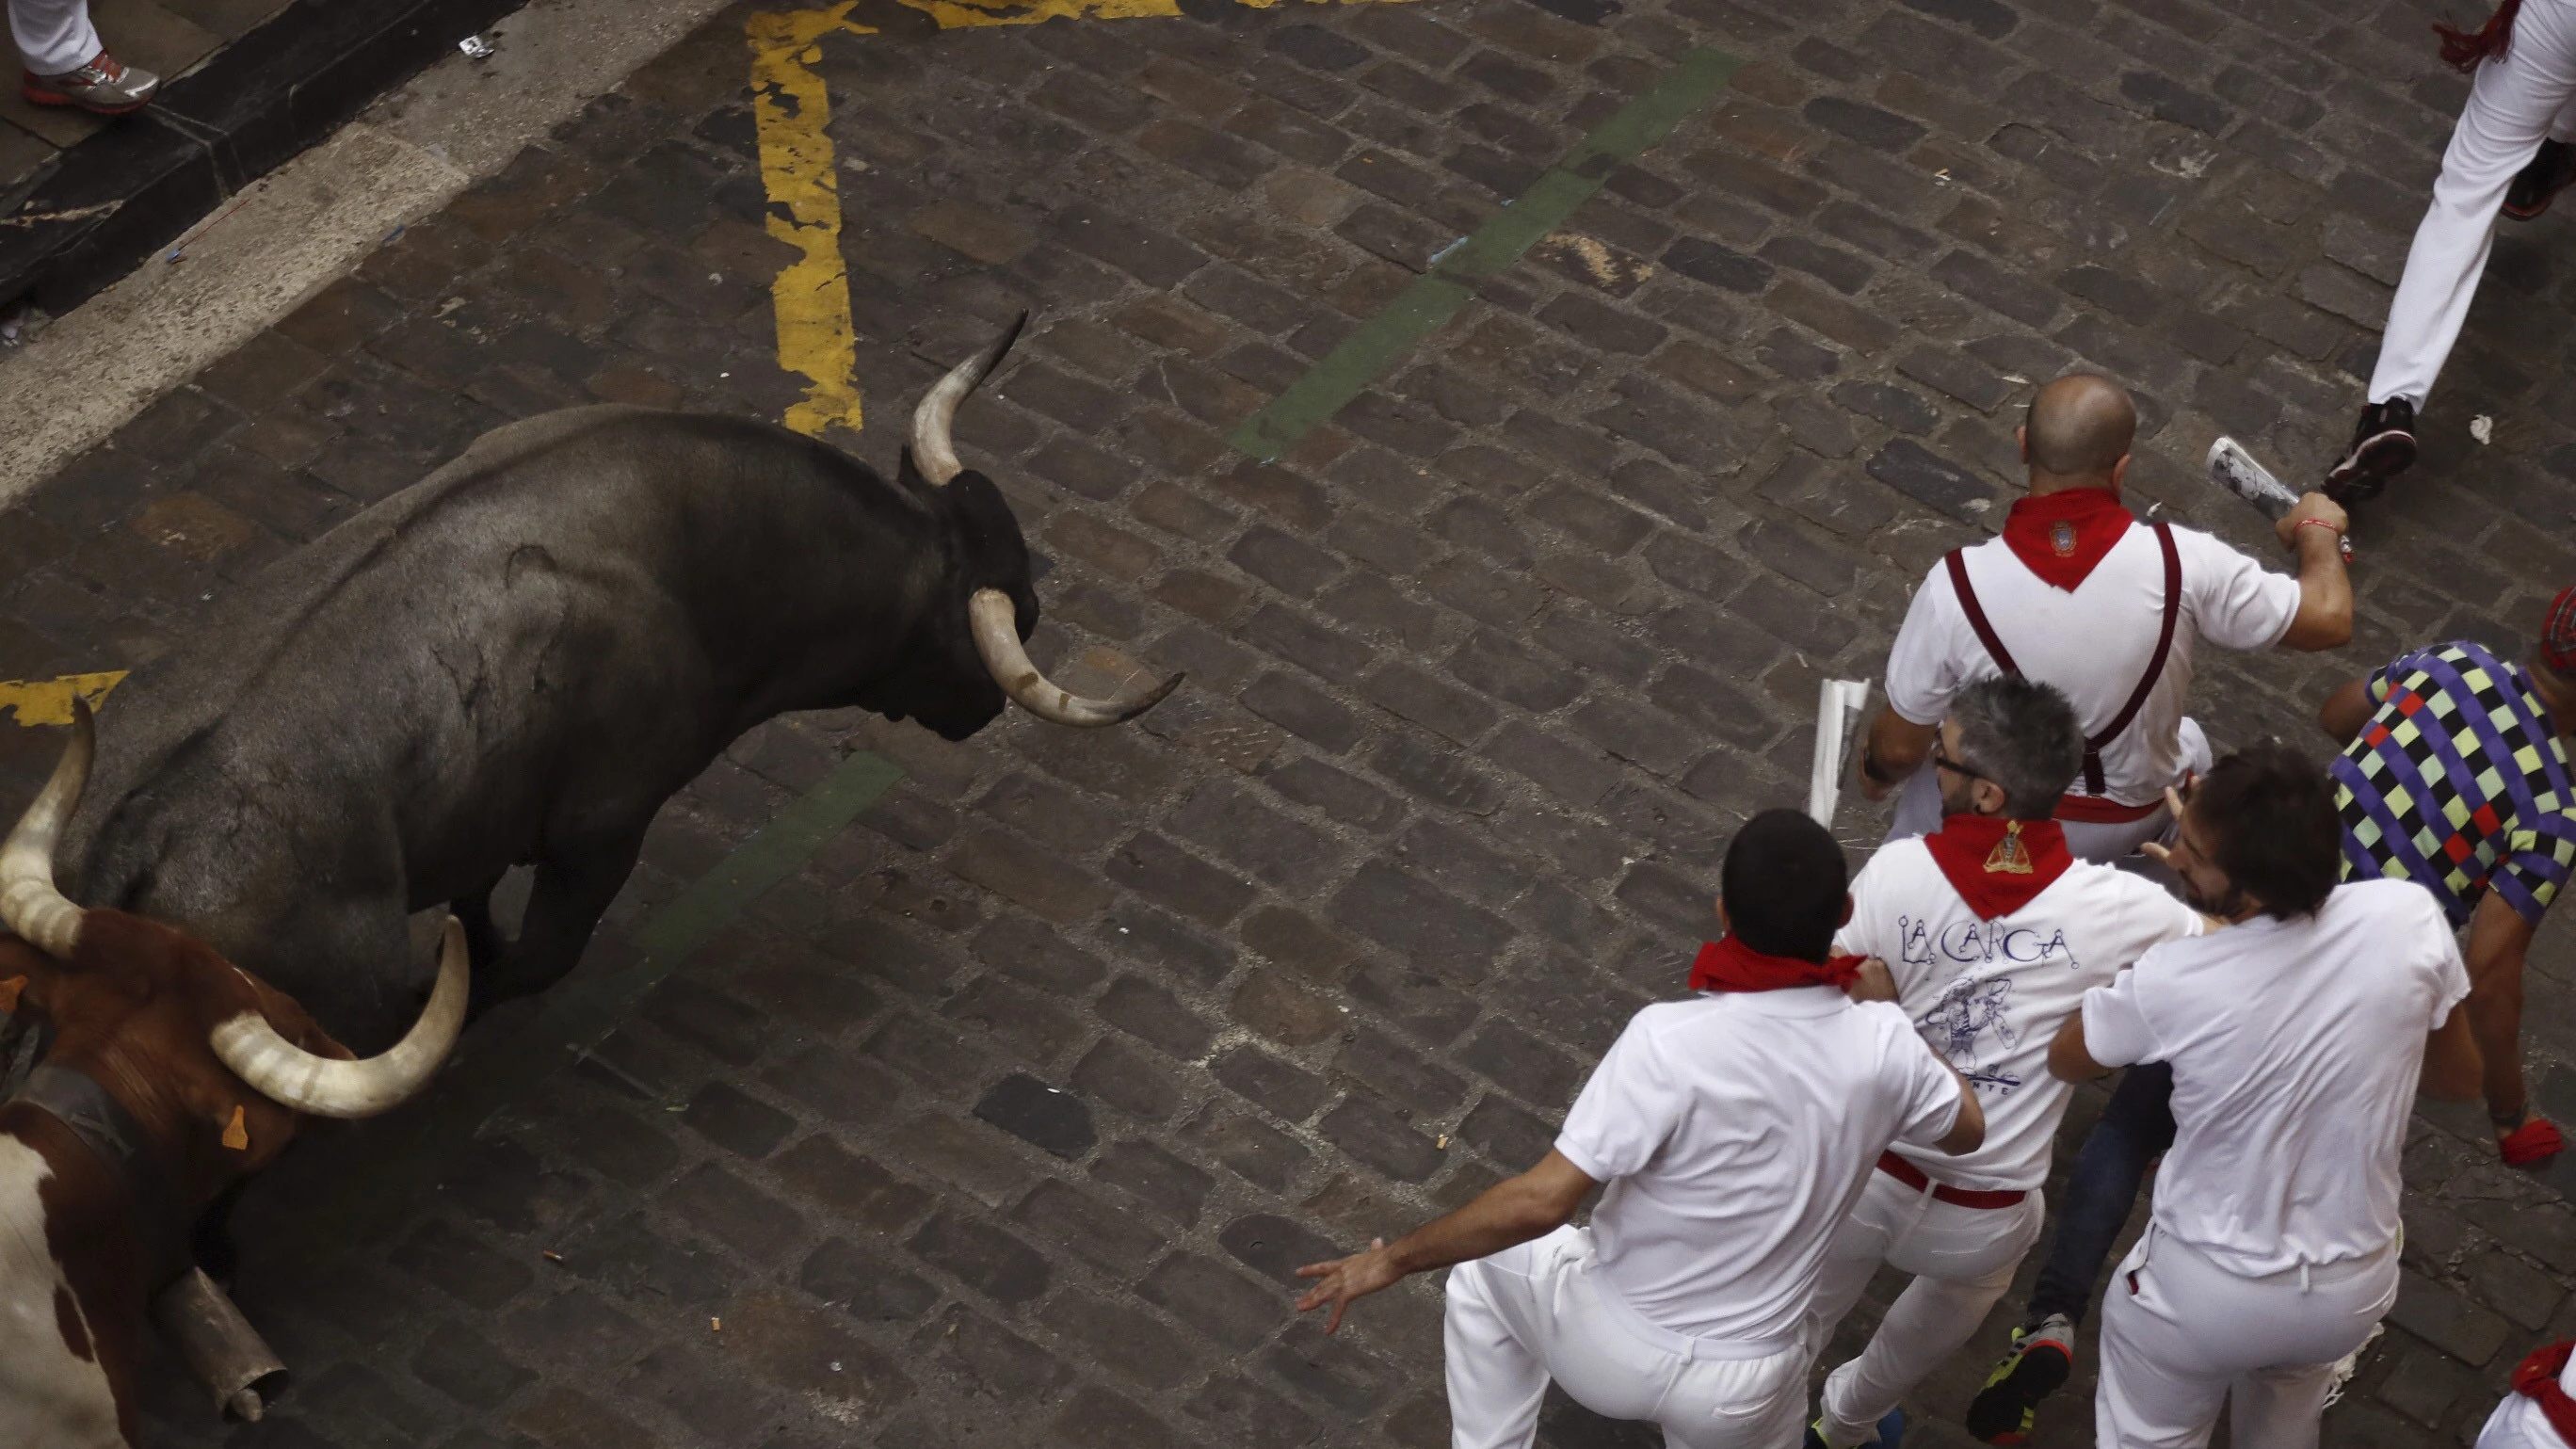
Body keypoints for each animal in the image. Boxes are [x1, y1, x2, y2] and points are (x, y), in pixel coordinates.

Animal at [55, 325, 1174, 1046]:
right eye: (1017, 614)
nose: (983, 709)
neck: (688, 539)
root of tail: (138, 831)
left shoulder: (492, 816)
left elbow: (476, 906)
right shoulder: (600, 830)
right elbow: (532, 961)